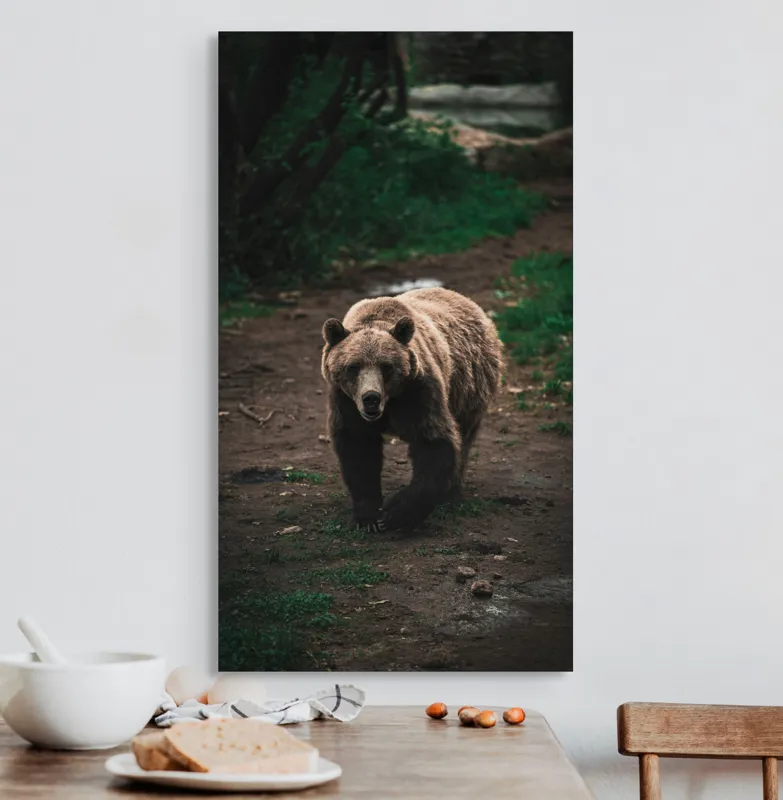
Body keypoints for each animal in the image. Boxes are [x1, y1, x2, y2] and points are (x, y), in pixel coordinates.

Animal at [321, 287, 502, 531]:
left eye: (386, 366)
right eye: (353, 366)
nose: (371, 398)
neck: (390, 403)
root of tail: (468, 301)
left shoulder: (418, 392)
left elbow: (433, 441)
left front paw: (395, 514)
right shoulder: (346, 401)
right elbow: (358, 450)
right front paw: (368, 516)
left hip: (469, 387)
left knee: (463, 438)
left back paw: (451, 494)